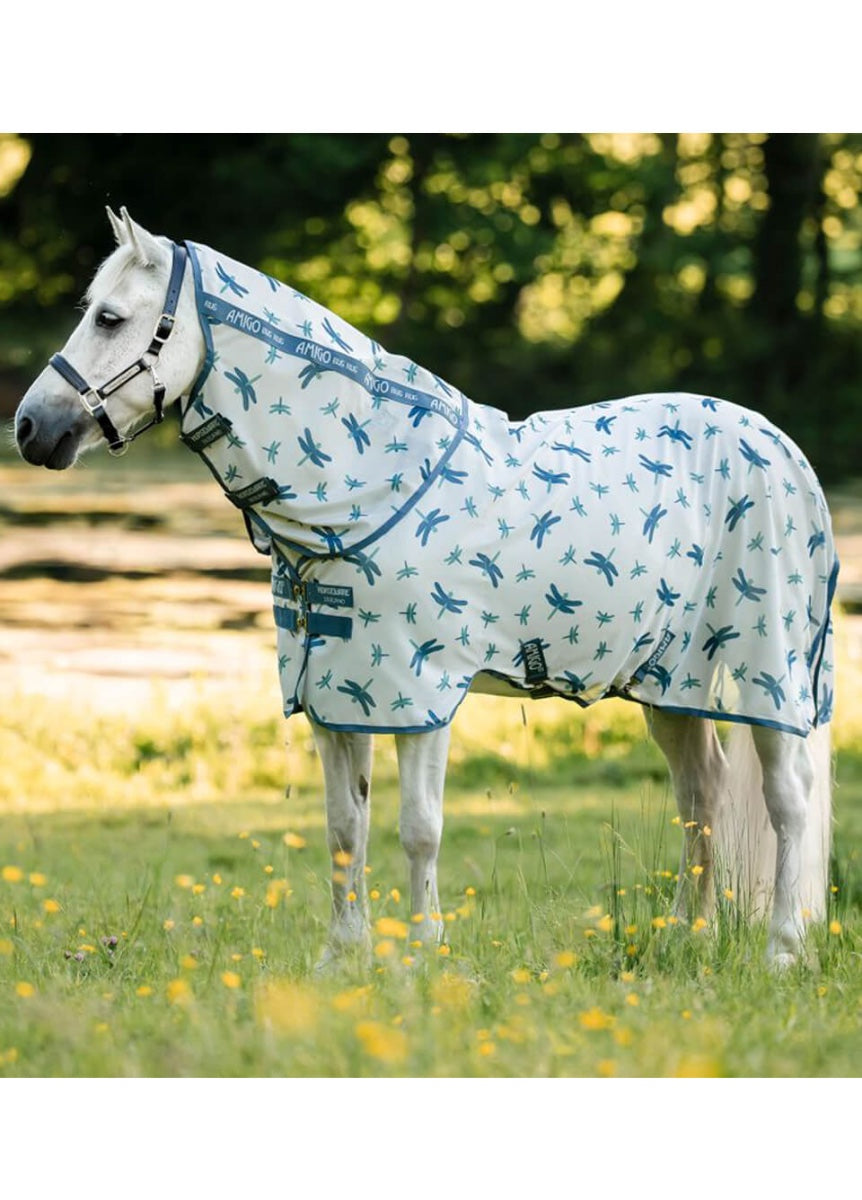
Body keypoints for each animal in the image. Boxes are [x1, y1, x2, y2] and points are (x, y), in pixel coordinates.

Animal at [14, 207, 838, 969]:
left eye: (110, 317)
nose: (29, 429)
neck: (365, 488)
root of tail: (783, 448)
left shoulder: (421, 694)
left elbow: (419, 829)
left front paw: (418, 958)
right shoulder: (335, 694)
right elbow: (344, 827)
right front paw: (342, 958)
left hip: (765, 673)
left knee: (788, 800)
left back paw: (783, 949)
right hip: (671, 683)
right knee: (701, 793)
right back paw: (686, 936)